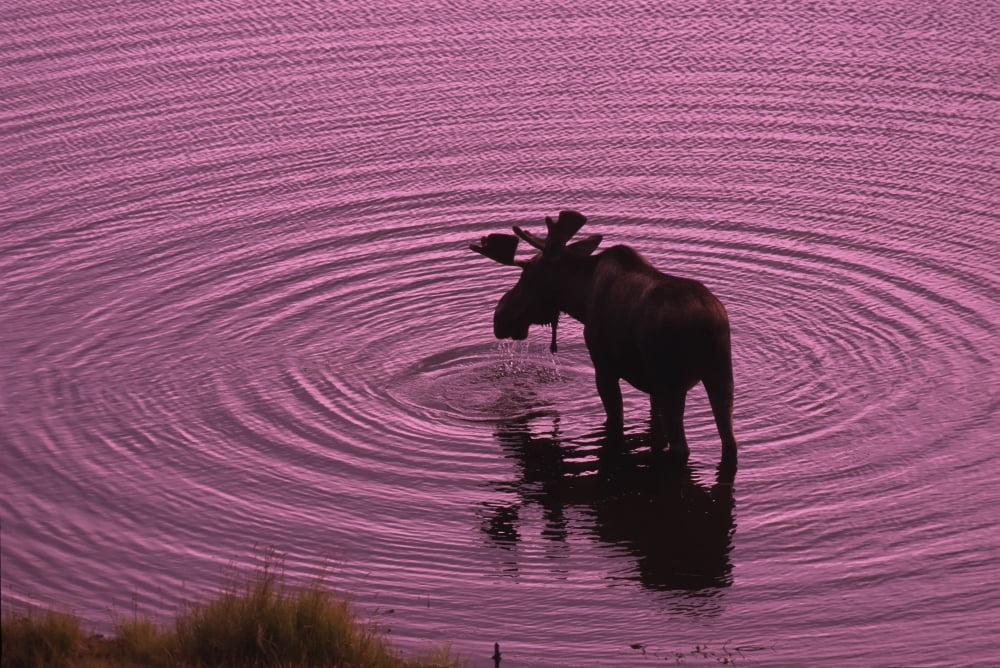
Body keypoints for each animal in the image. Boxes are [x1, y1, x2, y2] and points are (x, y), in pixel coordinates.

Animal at [470, 210, 737, 473]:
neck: (580, 297)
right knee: (729, 441)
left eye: (526, 276)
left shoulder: (605, 368)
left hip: (673, 382)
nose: (499, 317)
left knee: (682, 447)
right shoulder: (652, 385)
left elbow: (615, 419)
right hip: (721, 375)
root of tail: (710, 325)